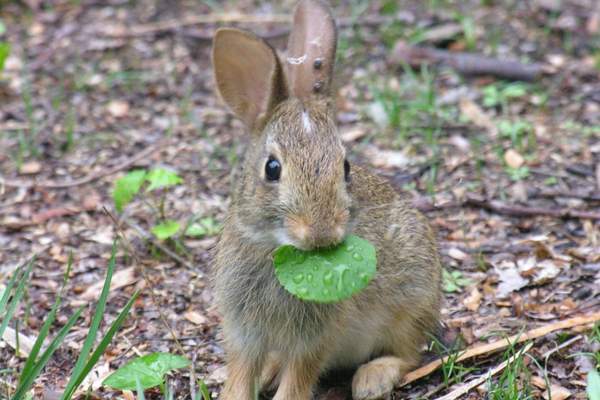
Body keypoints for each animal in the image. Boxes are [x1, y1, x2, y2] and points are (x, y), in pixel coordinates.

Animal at [211, 0, 440, 400]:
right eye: (272, 168)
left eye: (345, 167)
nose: (322, 233)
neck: (277, 250)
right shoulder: (244, 331)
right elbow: (240, 375)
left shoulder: (315, 339)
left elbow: (298, 380)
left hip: (412, 302)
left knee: (410, 353)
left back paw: (372, 379)